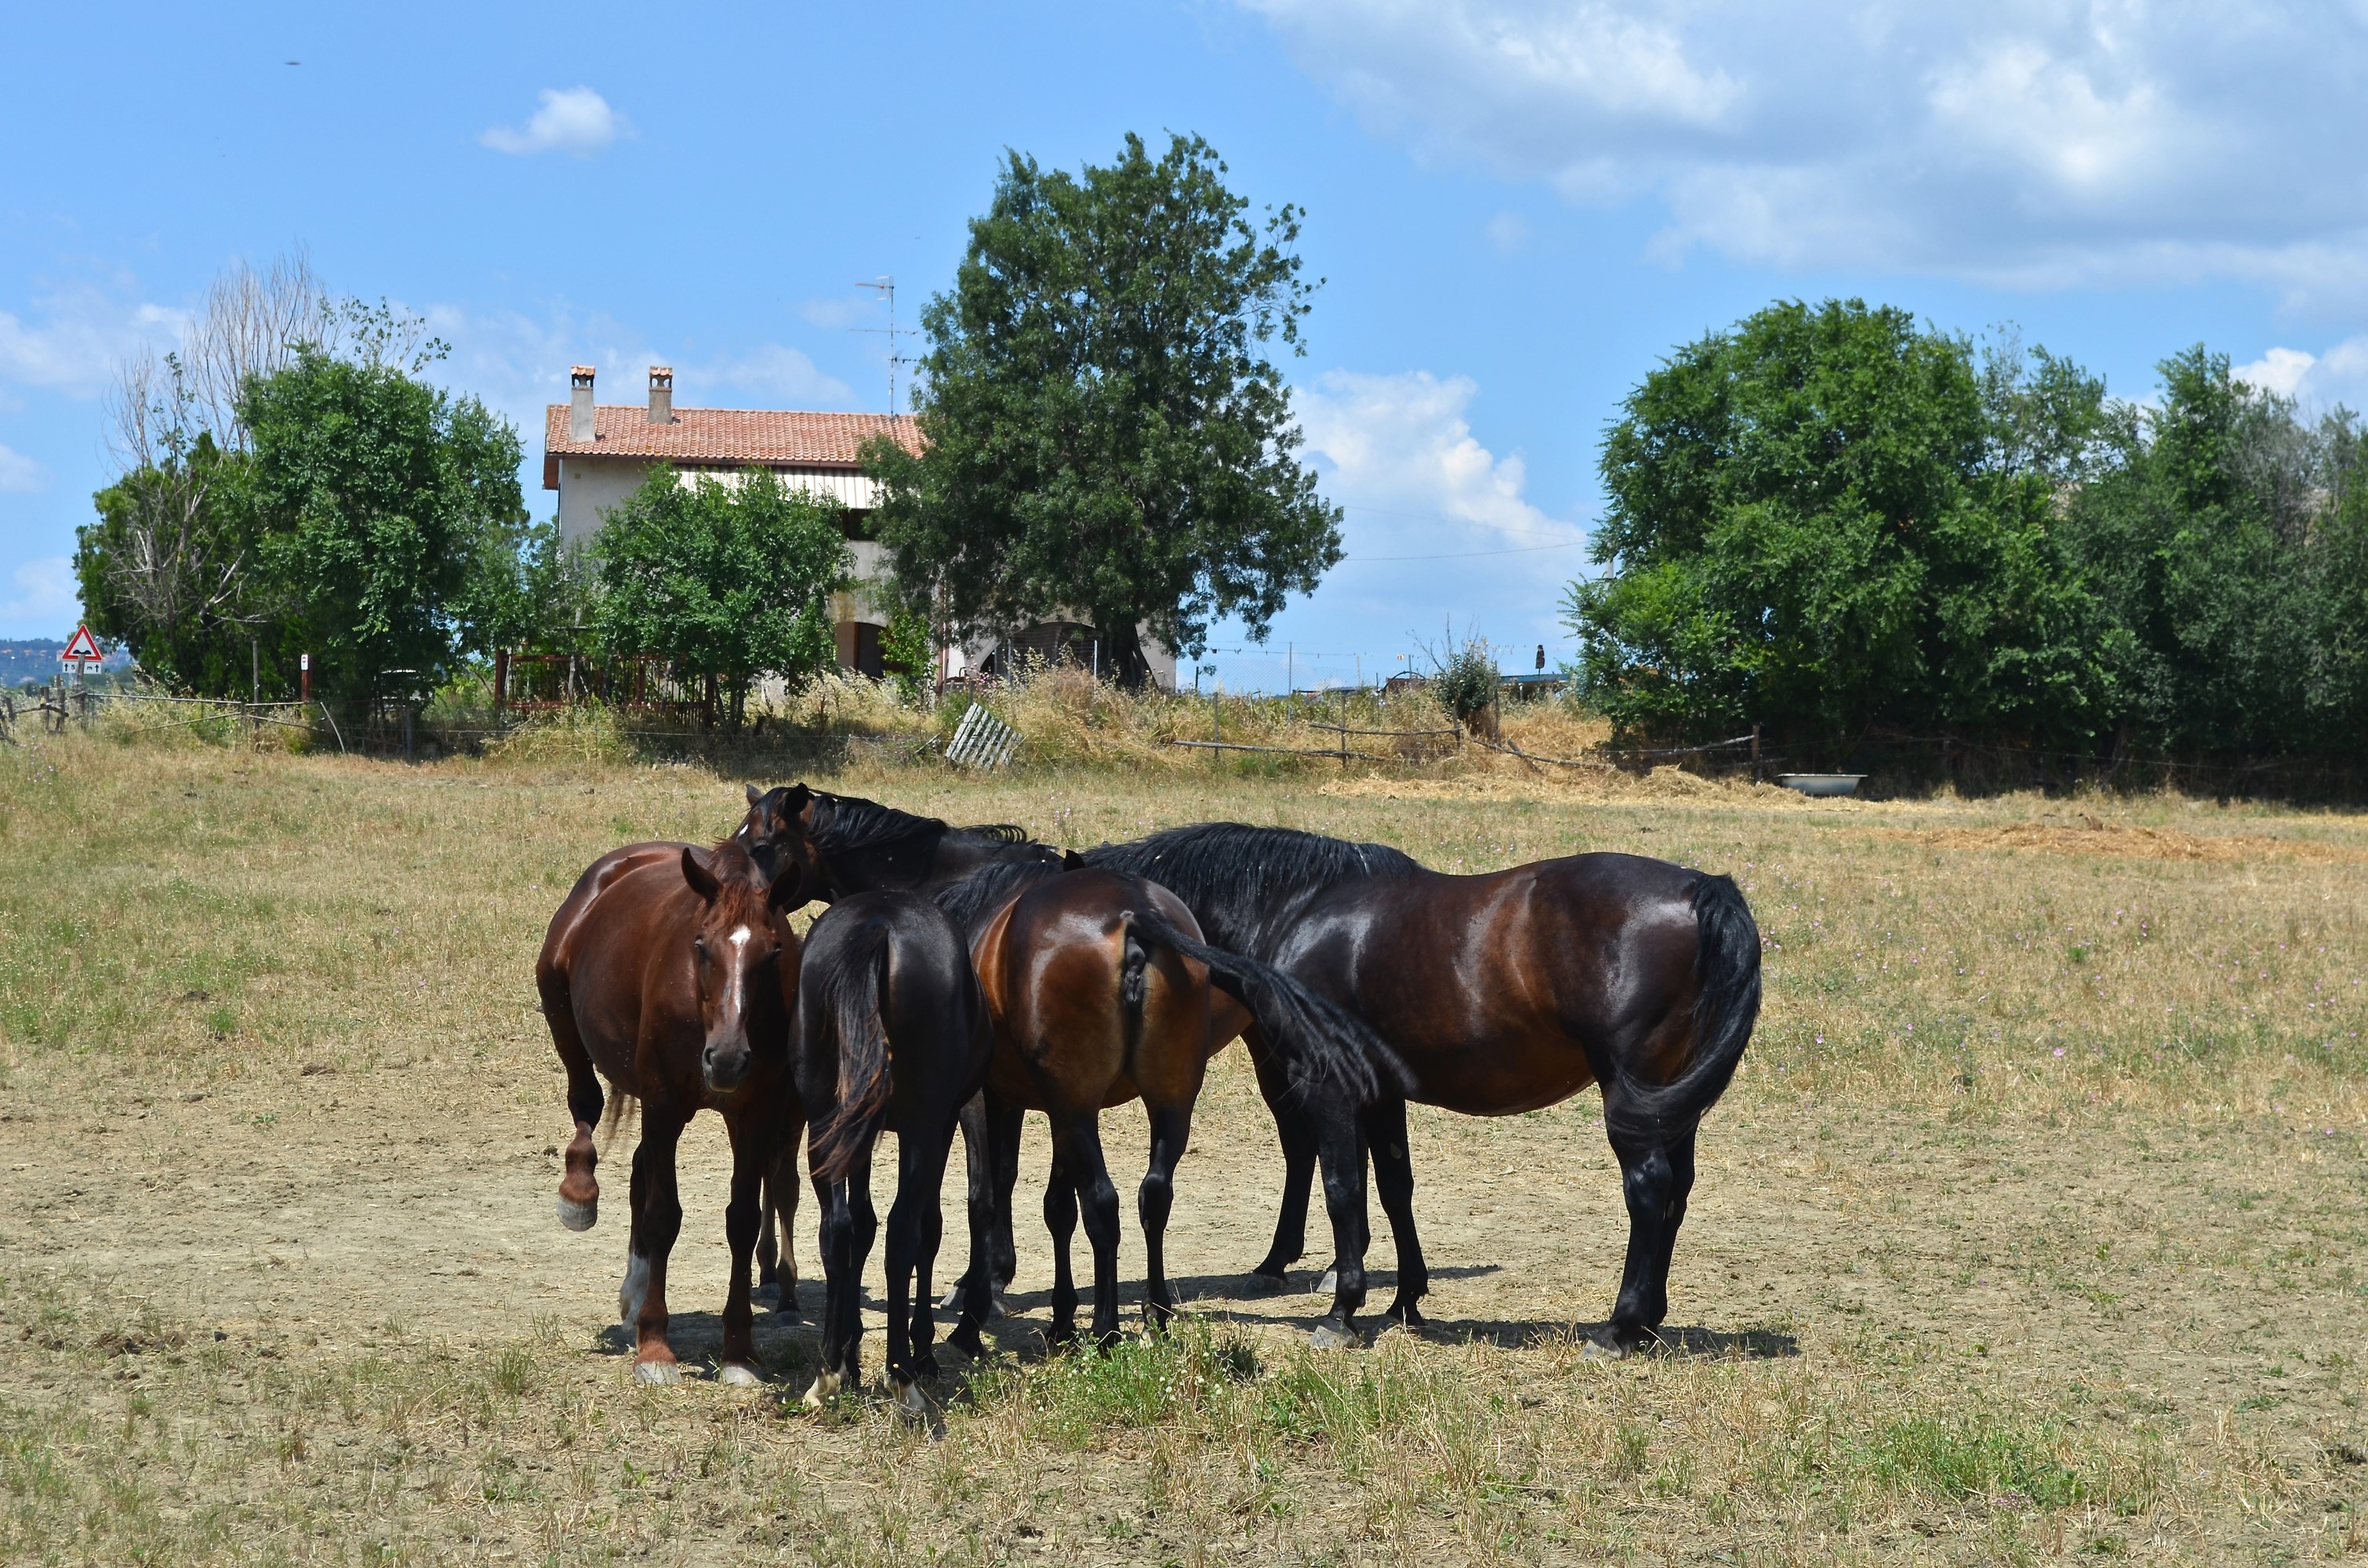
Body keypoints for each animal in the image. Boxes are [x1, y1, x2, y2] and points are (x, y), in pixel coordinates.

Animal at [537, 837, 806, 1384]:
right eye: (700, 945)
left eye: (773, 953)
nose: (727, 1058)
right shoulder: (663, 1105)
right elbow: (663, 1217)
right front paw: (655, 1347)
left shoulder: (754, 1114)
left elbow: (742, 1220)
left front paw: (738, 1350)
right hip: (559, 1006)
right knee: (586, 1103)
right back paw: (579, 1192)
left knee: (641, 1171)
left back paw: (634, 1289)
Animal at [736, 785, 1407, 1345]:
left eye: (761, 845)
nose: (741, 905)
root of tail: (1135, 920)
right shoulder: (1048, 1098)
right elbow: (1052, 1198)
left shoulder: (987, 1098)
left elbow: (991, 1189)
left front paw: (983, 1290)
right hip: (1238, 1063)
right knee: (1284, 1153)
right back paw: (1275, 1266)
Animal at [793, 889, 995, 1411]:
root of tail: (876, 926)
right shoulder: (941, 1123)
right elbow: (930, 1229)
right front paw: (921, 1351)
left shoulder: (858, 1129)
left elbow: (861, 1225)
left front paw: (850, 1354)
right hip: (924, 1126)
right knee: (904, 1230)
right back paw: (903, 1375)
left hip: (824, 1119)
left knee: (836, 1228)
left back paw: (827, 1372)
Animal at [1085, 823, 1762, 1351]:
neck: (1298, 909)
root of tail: (1702, 890)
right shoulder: (1381, 1093)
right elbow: (1394, 1186)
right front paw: (1405, 1301)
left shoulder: (1327, 1088)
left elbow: (1342, 1190)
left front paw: (1342, 1312)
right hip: (1671, 1100)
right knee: (1676, 1194)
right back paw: (1648, 1323)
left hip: (1635, 1093)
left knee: (1649, 1191)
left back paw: (1620, 1329)